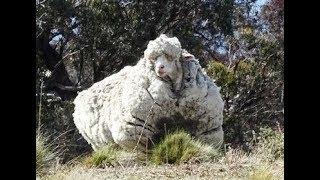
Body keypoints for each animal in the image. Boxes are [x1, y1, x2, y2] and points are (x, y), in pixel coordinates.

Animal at [73, 34, 224, 152]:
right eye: (153, 59)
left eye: (172, 57)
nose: (160, 68)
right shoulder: (135, 131)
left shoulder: (207, 131)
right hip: (99, 143)